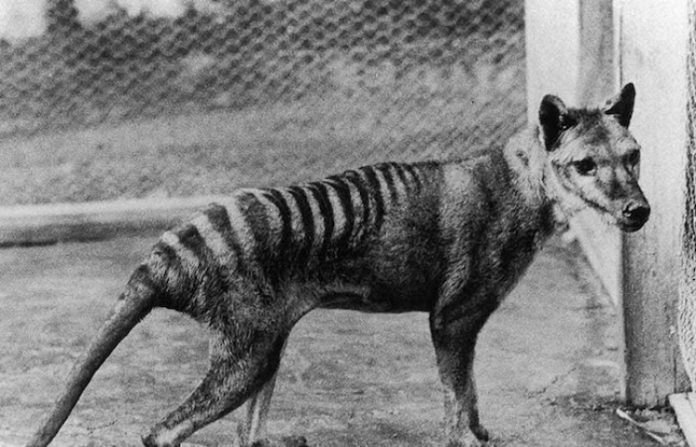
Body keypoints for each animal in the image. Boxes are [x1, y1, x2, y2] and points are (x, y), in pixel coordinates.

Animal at [26, 83, 648, 447]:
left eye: (633, 155)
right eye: (585, 164)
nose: (637, 210)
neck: (521, 182)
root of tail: (165, 253)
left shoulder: (462, 325)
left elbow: (470, 392)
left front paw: (481, 432)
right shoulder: (452, 319)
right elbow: (457, 394)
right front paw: (466, 439)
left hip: (267, 344)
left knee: (248, 434)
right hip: (246, 355)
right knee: (161, 433)